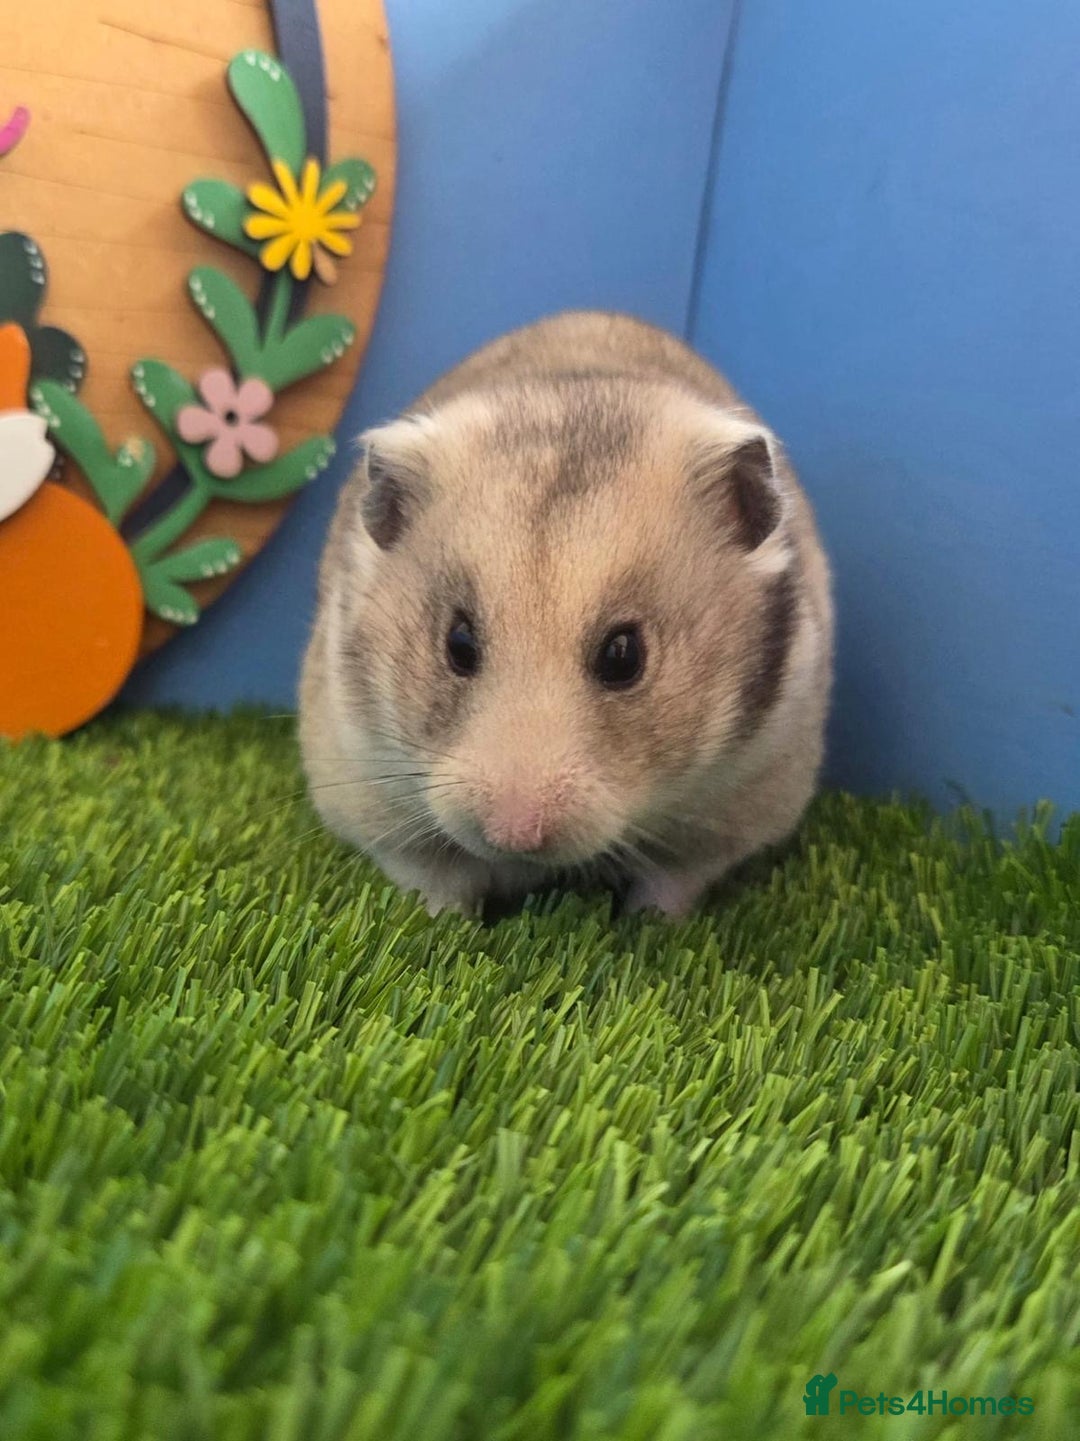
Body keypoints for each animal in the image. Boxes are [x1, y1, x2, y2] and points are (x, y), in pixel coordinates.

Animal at [299, 311, 833, 918]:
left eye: (625, 655)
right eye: (457, 644)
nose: (513, 832)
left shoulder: (724, 821)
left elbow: (670, 886)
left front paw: (649, 926)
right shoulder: (373, 795)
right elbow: (436, 884)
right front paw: (444, 926)